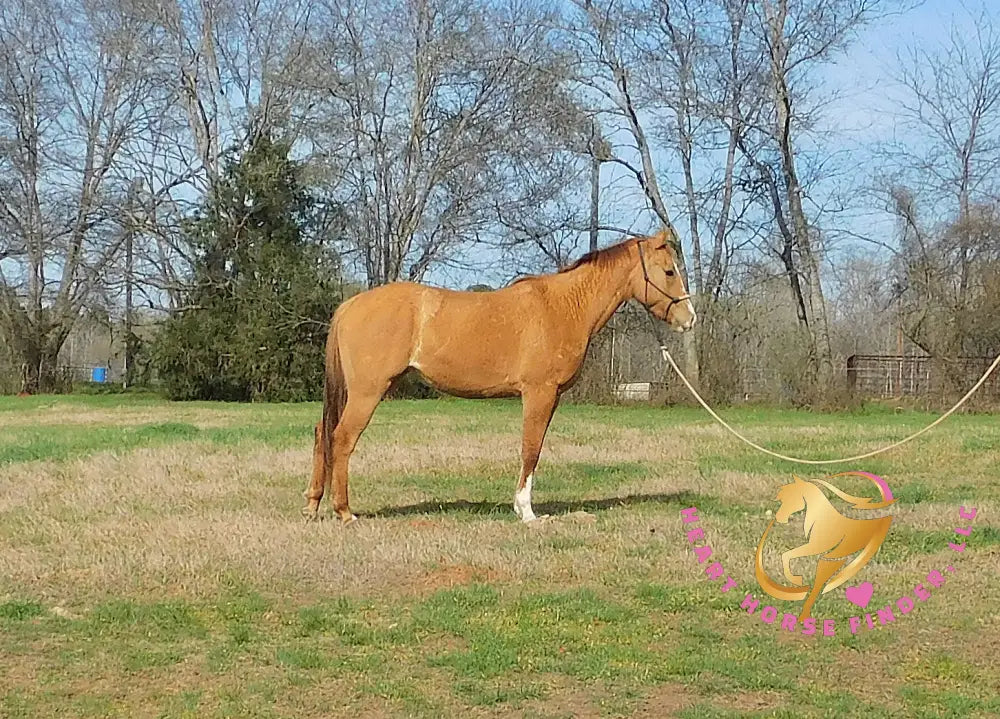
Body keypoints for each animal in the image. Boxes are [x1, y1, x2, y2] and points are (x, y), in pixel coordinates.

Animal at [302, 227, 697, 524]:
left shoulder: (550, 397)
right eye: (669, 272)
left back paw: (313, 504)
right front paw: (526, 512)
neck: (564, 306)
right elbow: (531, 449)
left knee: (323, 434)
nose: (689, 318)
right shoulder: (539, 393)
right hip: (368, 392)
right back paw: (345, 512)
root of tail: (350, 304)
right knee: (342, 439)